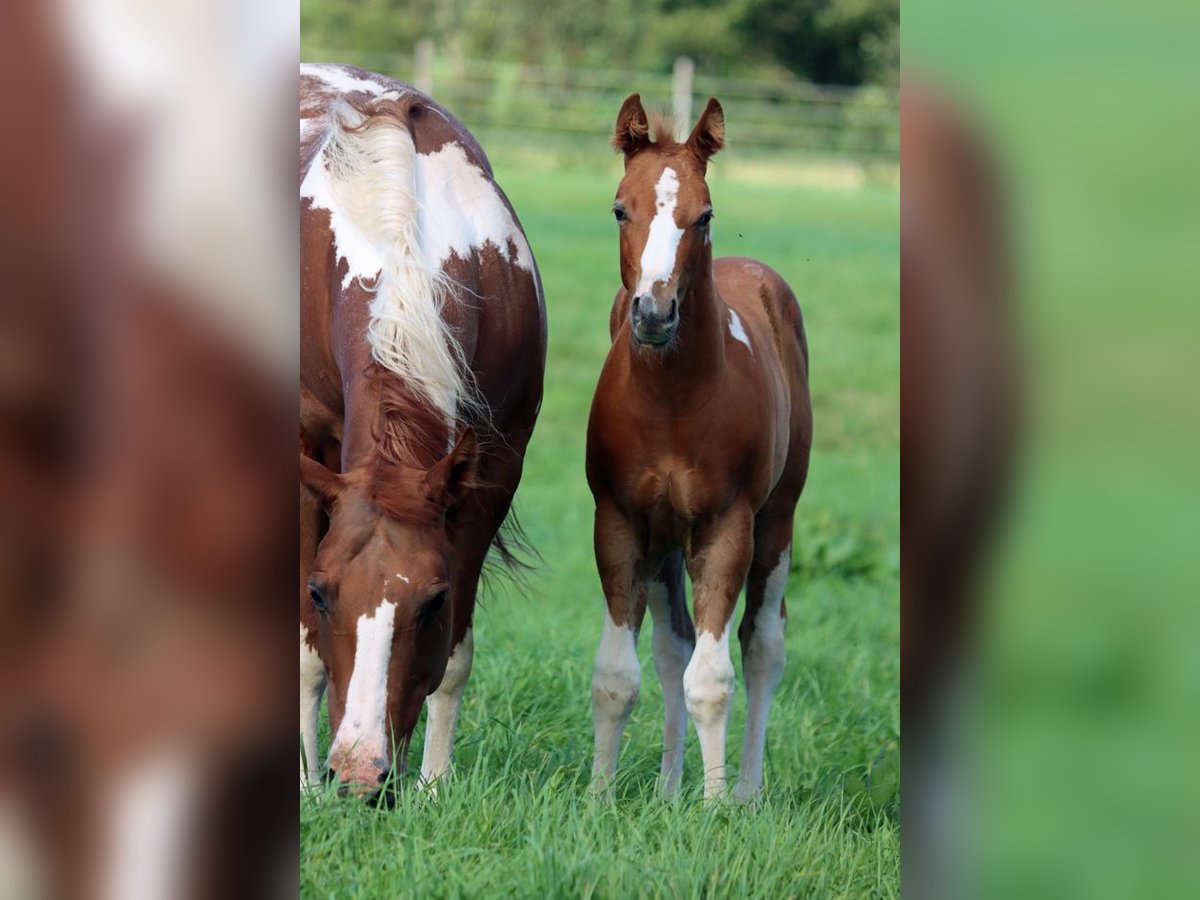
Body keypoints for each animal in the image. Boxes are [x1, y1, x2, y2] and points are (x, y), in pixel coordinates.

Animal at [300, 63, 544, 796]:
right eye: (321, 592)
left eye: (430, 603)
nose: (359, 773)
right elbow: (306, 652)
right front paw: (306, 786)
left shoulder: (494, 471)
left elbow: (454, 657)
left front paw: (431, 786)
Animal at [585, 95, 811, 801]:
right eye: (619, 208)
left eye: (704, 214)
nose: (654, 314)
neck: (672, 406)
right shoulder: (620, 523)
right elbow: (618, 674)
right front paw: (599, 799)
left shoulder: (725, 527)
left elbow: (713, 680)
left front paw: (713, 810)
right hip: (665, 538)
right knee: (673, 646)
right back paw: (665, 787)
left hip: (777, 522)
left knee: (763, 644)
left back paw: (745, 793)